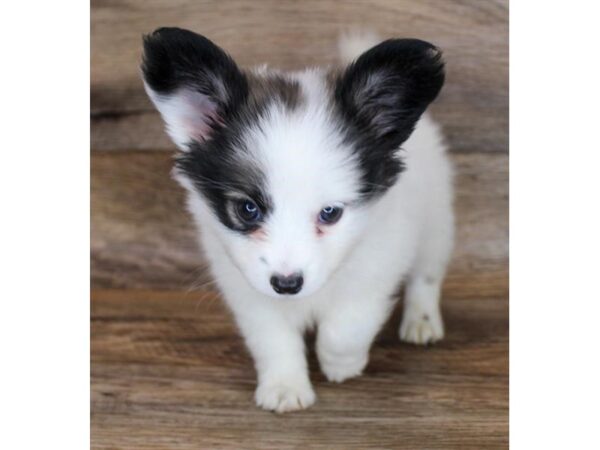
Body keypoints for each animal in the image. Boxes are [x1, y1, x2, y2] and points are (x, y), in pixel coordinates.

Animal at [142, 28, 454, 414]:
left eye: (330, 213)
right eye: (248, 209)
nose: (287, 284)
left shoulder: (377, 266)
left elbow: (347, 326)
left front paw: (342, 365)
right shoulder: (248, 289)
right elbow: (274, 340)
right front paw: (284, 387)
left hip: (436, 218)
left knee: (427, 274)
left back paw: (422, 322)